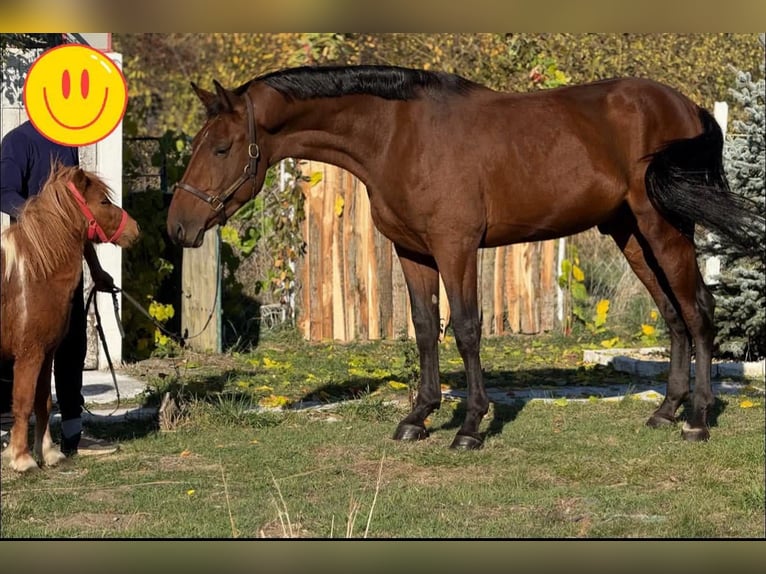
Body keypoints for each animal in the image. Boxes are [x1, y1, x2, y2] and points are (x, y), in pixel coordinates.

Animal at [1, 165, 140, 472]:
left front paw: (50, 453)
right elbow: (23, 403)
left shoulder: (46, 354)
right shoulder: (29, 354)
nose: (136, 229)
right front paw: (22, 459)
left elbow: (42, 403)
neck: (34, 274)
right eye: (103, 201)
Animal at [166, 65, 764, 449]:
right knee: (672, 315)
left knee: (698, 310)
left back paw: (697, 420)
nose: (179, 226)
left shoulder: (455, 247)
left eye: (221, 148)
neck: (399, 136)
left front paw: (471, 427)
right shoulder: (412, 251)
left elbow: (467, 329)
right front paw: (418, 418)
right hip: (630, 232)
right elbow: (425, 327)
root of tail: (688, 106)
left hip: (663, 227)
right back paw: (665, 411)